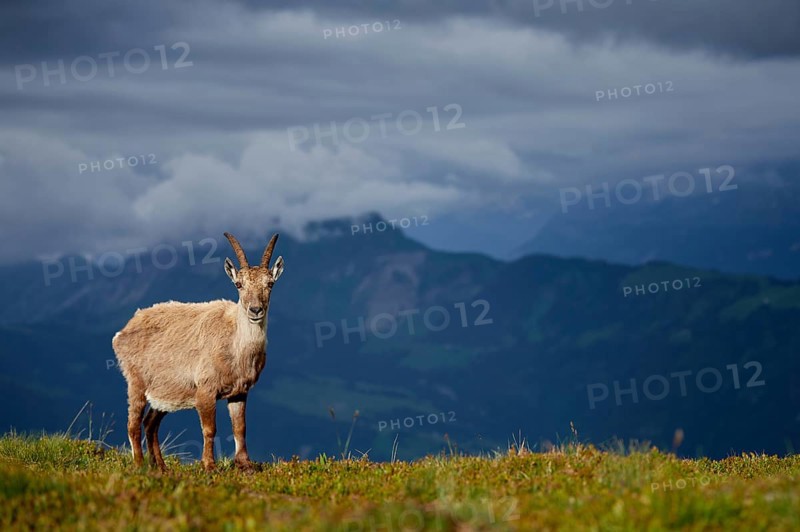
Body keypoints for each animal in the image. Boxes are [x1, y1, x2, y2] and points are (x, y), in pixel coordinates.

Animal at [112, 232, 284, 471]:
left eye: (270, 283)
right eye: (239, 284)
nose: (255, 310)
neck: (235, 345)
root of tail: (123, 331)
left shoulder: (239, 391)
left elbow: (240, 427)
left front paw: (245, 464)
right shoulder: (205, 390)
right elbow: (209, 429)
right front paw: (209, 465)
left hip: (166, 392)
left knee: (150, 423)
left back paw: (161, 467)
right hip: (136, 382)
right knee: (133, 423)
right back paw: (139, 465)